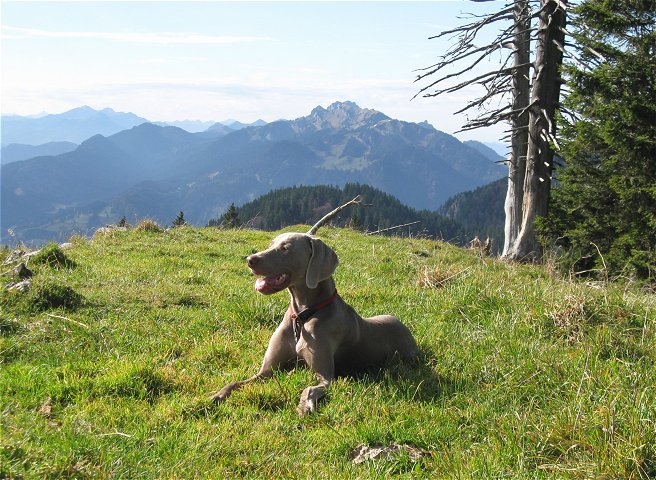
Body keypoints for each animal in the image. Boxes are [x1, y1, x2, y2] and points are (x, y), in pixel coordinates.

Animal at [213, 232, 418, 416]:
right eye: (271, 244)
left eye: (285, 248)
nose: (250, 259)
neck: (302, 317)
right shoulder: (266, 372)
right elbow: (236, 382)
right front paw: (218, 395)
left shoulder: (326, 379)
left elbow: (309, 388)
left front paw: (304, 406)